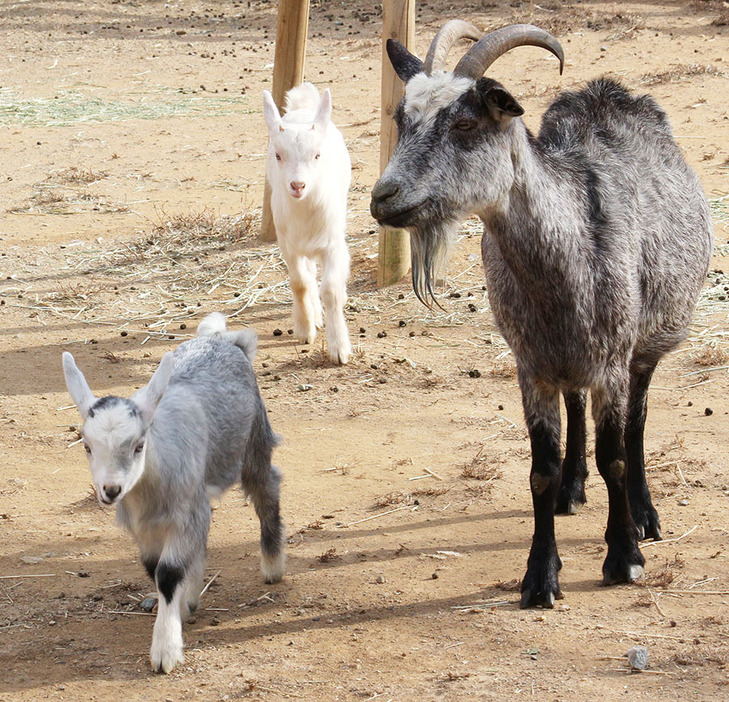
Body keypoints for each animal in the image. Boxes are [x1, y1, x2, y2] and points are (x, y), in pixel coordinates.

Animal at [61, 314, 284, 676]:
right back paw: (192, 596)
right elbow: (154, 568)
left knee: (267, 492)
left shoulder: (184, 512)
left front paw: (165, 650)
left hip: (253, 443)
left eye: (139, 446)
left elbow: (168, 573)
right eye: (87, 447)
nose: (111, 490)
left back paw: (273, 566)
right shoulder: (146, 526)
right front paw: (179, 610)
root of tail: (224, 340)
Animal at [262, 82, 352, 366]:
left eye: (317, 155)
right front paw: (304, 329)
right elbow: (299, 283)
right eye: (278, 155)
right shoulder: (288, 245)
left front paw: (339, 348)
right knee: (309, 275)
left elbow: (331, 290)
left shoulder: (333, 244)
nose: (298, 185)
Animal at [372, 23, 712, 612]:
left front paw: (624, 557)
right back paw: (573, 490)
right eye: (401, 120)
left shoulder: (613, 360)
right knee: (575, 408)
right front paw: (539, 576)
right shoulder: (531, 365)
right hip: (567, 360)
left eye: (465, 123)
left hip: (647, 345)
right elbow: (540, 471)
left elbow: (615, 456)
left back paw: (645, 514)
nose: (384, 197)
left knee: (638, 422)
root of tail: (609, 92)